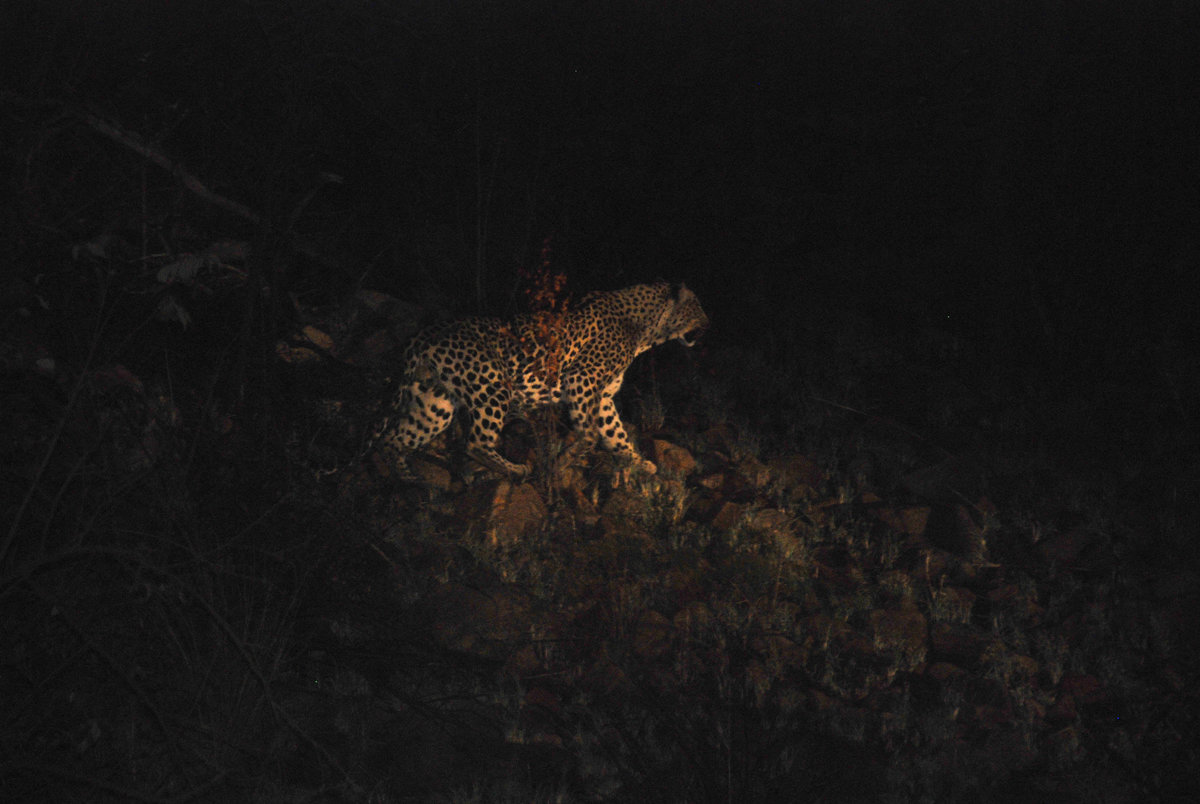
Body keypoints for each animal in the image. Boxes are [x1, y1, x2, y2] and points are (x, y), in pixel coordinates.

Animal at [359, 281, 708, 480]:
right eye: (698, 307)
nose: (709, 323)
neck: (646, 331)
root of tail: (422, 336)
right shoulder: (583, 380)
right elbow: (591, 433)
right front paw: (564, 460)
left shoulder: (603, 396)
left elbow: (616, 433)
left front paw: (638, 462)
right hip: (492, 387)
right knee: (475, 443)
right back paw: (516, 469)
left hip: (434, 402)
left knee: (394, 440)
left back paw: (409, 481)